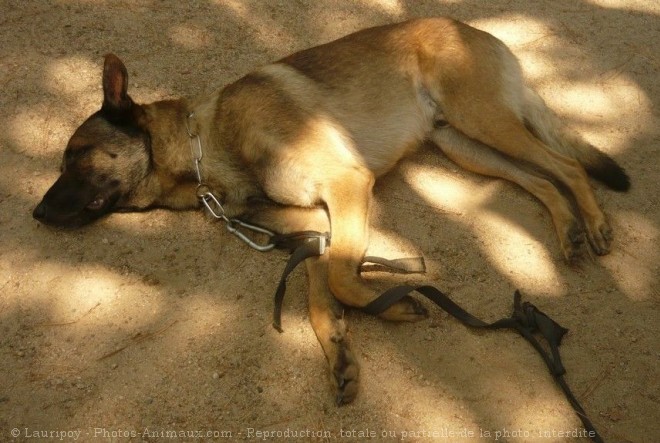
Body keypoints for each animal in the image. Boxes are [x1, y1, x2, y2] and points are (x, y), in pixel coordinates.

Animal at [34, 17, 628, 406]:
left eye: (75, 155)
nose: (36, 213)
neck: (207, 142)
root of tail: (471, 27)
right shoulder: (317, 224)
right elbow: (320, 290)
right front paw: (342, 346)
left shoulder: (347, 186)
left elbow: (341, 278)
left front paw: (392, 304)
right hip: (466, 146)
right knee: (540, 178)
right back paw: (570, 229)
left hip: (481, 120)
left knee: (565, 166)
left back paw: (594, 225)